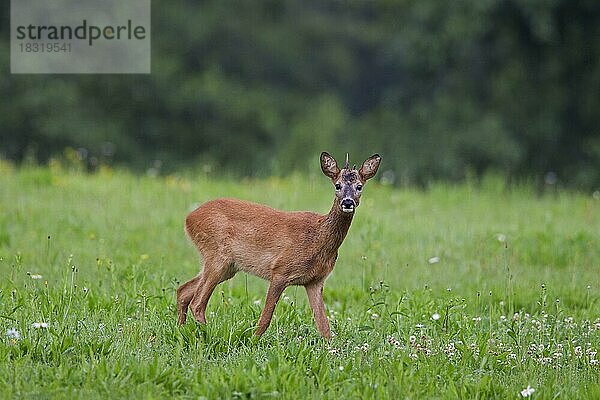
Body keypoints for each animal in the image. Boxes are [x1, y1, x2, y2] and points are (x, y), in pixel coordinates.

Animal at [176, 152, 380, 338]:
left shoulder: (315, 281)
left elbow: (324, 326)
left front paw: (331, 350)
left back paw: (182, 331)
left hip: (227, 266)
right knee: (197, 303)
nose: (348, 202)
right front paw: (253, 342)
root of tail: (188, 218)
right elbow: (265, 318)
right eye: (337, 185)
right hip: (217, 256)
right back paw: (208, 335)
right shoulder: (280, 271)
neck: (318, 239)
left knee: (183, 291)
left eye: (359, 186)